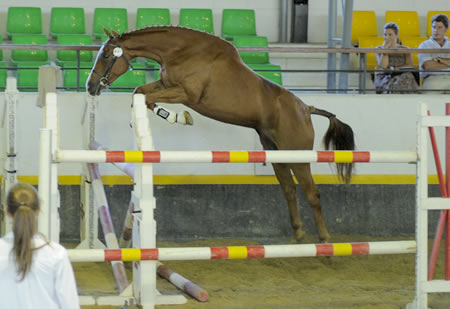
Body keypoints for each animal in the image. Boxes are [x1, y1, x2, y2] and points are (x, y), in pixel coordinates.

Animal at [87, 26, 356, 242]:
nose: (91, 86)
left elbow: (144, 95)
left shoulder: (186, 94)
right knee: (289, 189)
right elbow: (140, 92)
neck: (182, 52)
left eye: (107, 55)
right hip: (277, 154)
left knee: (313, 193)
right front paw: (172, 117)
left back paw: (324, 240)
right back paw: (298, 233)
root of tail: (305, 109)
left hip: (298, 156)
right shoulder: (165, 86)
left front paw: (178, 117)